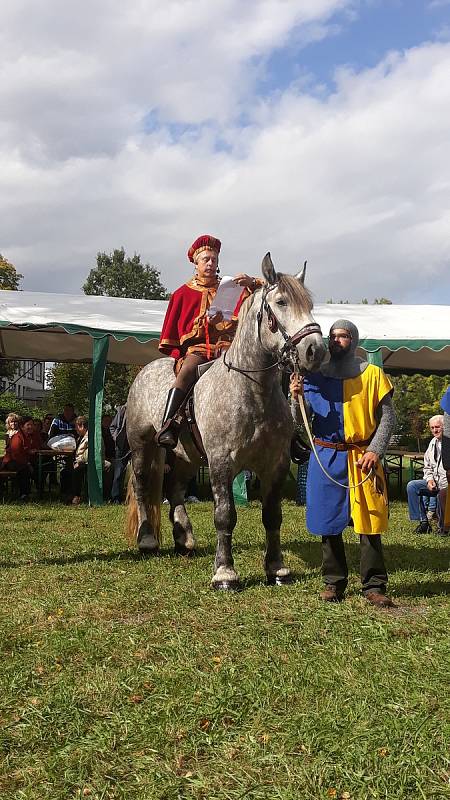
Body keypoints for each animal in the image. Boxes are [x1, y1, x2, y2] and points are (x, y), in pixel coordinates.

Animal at [125, 253, 326, 592]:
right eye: (281, 302)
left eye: (309, 305)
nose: (316, 350)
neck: (252, 391)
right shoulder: (221, 462)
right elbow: (224, 515)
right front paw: (224, 572)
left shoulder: (275, 464)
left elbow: (272, 516)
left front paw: (277, 569)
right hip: (142, 446)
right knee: (142, 485)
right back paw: (148, 540)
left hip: (188, 456)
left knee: (175, 487)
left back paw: (184, 538)